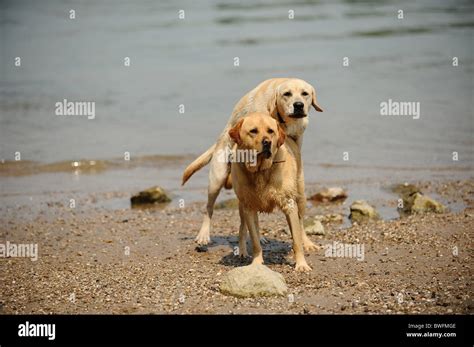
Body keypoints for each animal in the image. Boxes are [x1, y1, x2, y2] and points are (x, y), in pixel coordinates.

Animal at [181, 78, 322, 247]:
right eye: (287, 94)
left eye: (305, 93)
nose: (299, 105)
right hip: (217, 178)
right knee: (209, 208)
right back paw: (204, 235)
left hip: (300, 190)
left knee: (298, 217)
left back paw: (304, 242)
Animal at [230, 113, 312, 272]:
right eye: (253, 131)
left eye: (270, 131)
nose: (267, 142)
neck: (260, 171)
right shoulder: (248, 206)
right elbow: (255, 240)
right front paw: (256, 262)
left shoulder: (289, 204)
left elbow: (296, 239)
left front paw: (301, 264)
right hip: (241, 205)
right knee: (244, 227)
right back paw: (242, 251)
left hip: (301, 197)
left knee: (301, 224)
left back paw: (308, 243)